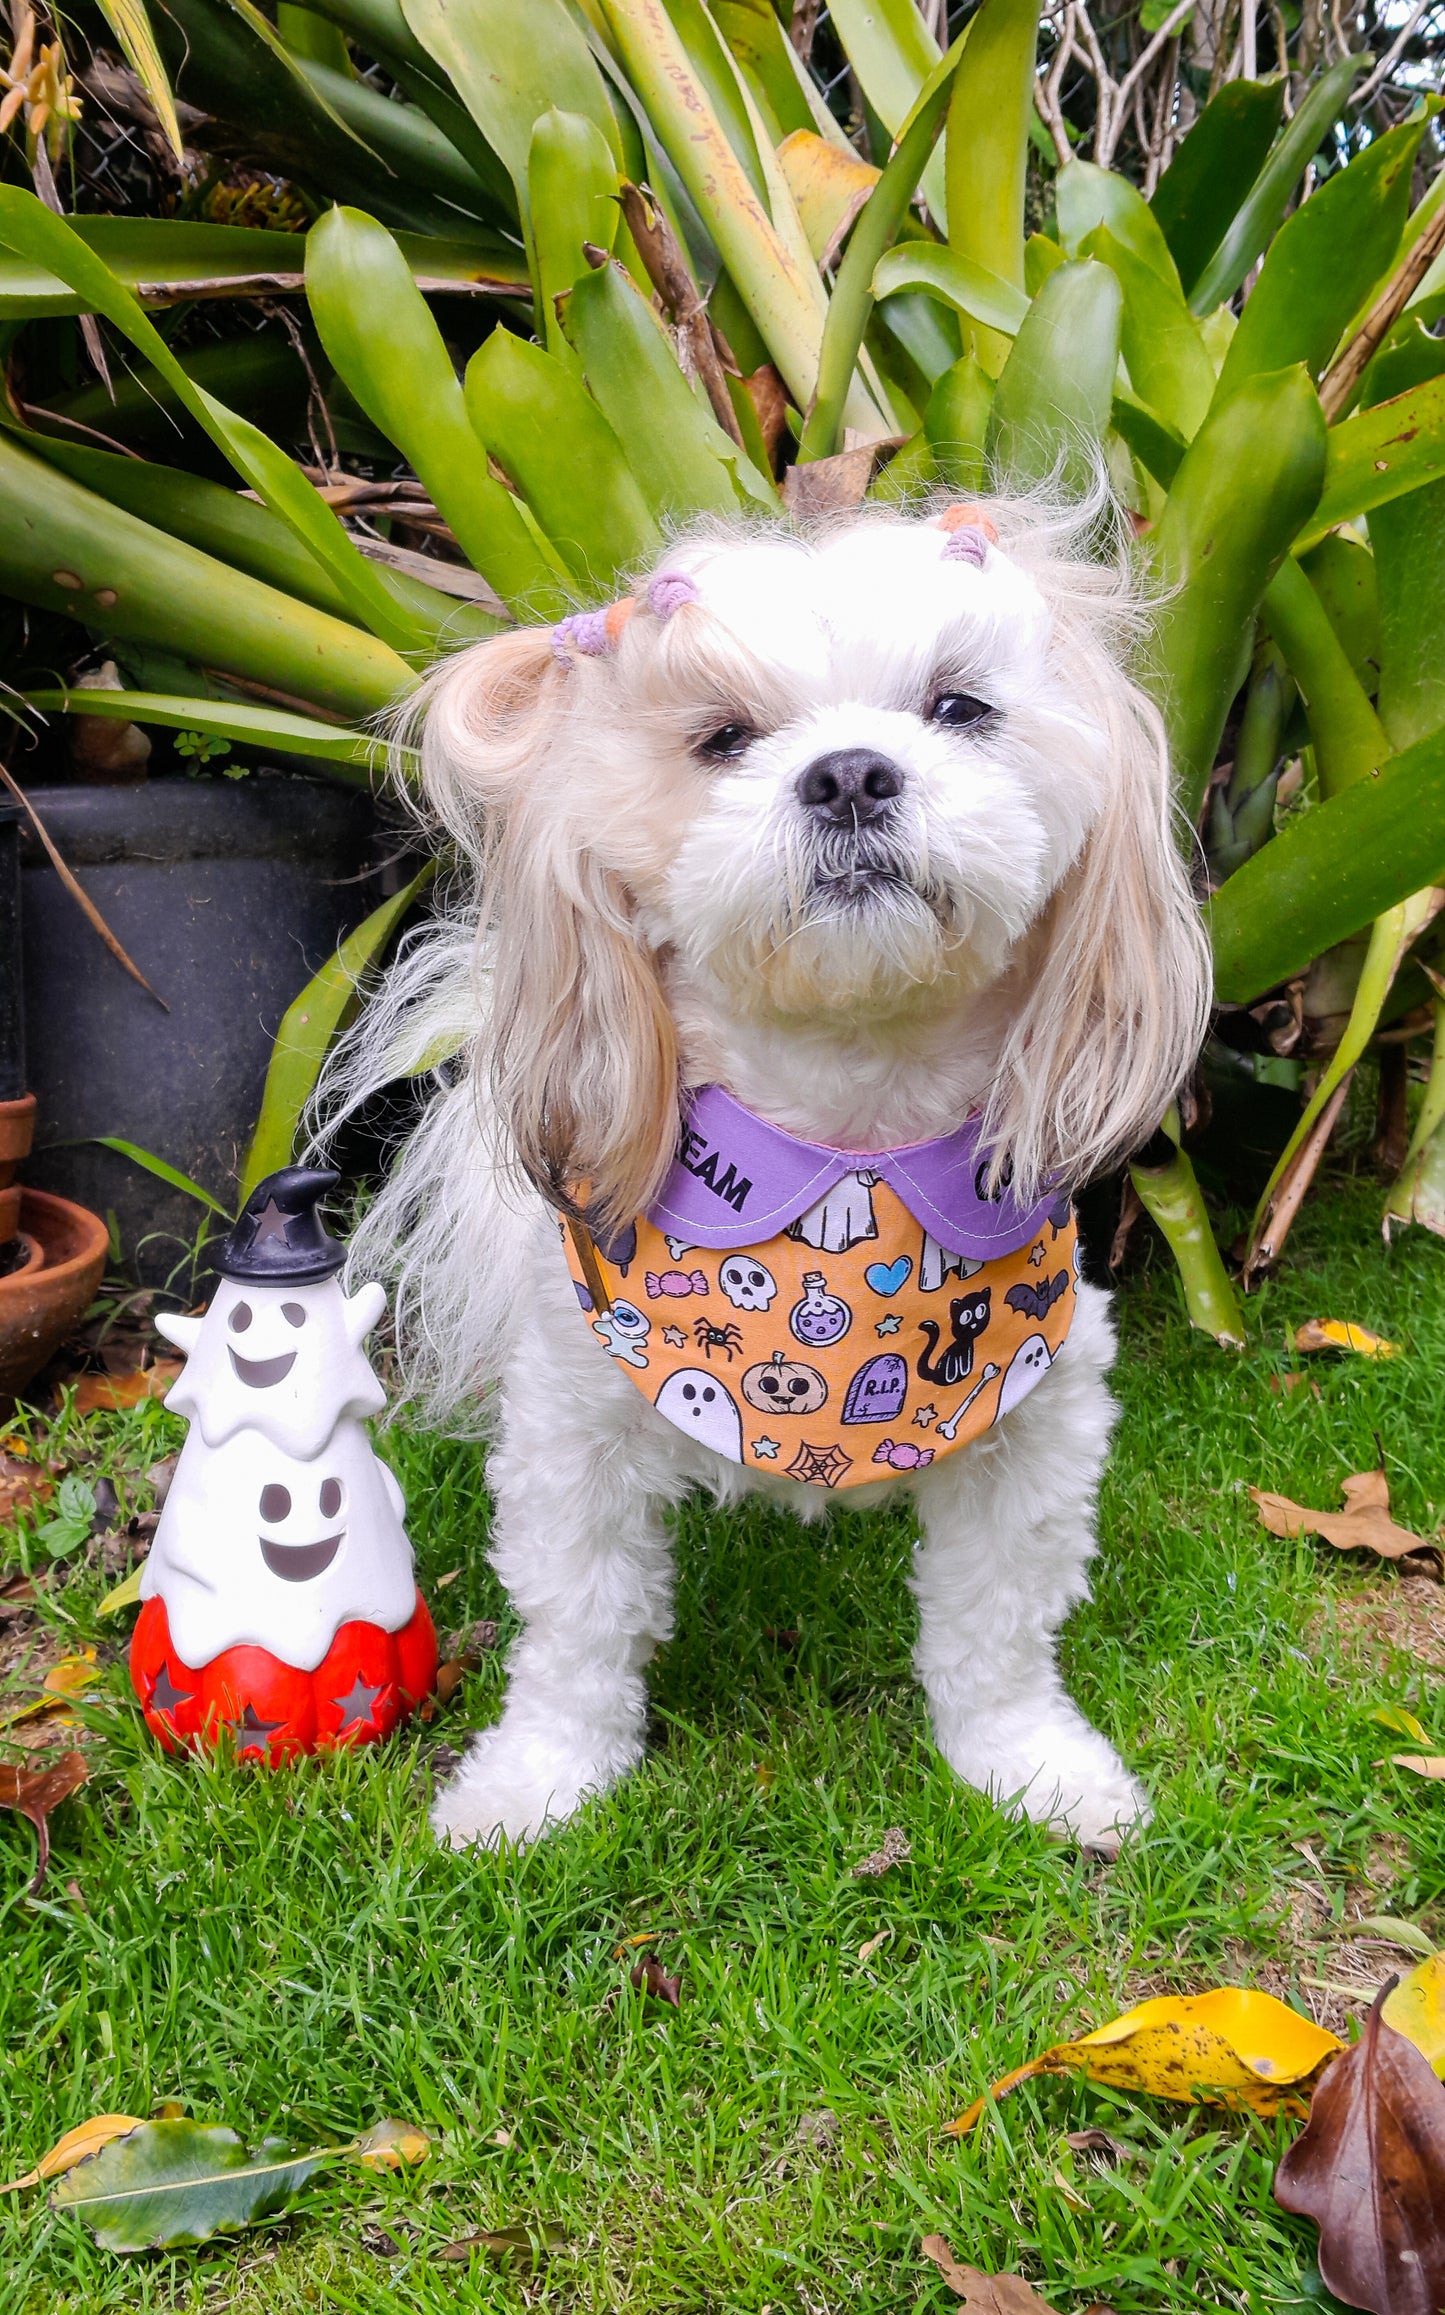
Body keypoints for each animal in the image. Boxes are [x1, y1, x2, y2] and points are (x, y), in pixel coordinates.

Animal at [333, 497, 1213, 1852]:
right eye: (723, 737)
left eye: (957, 706)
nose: (848, 771)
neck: (849, 1142)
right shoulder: (571, 1430)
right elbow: (576, 1628)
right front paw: (536, 1781)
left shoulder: (1038, 1415)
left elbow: (997, 1624)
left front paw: (1030, 1763)